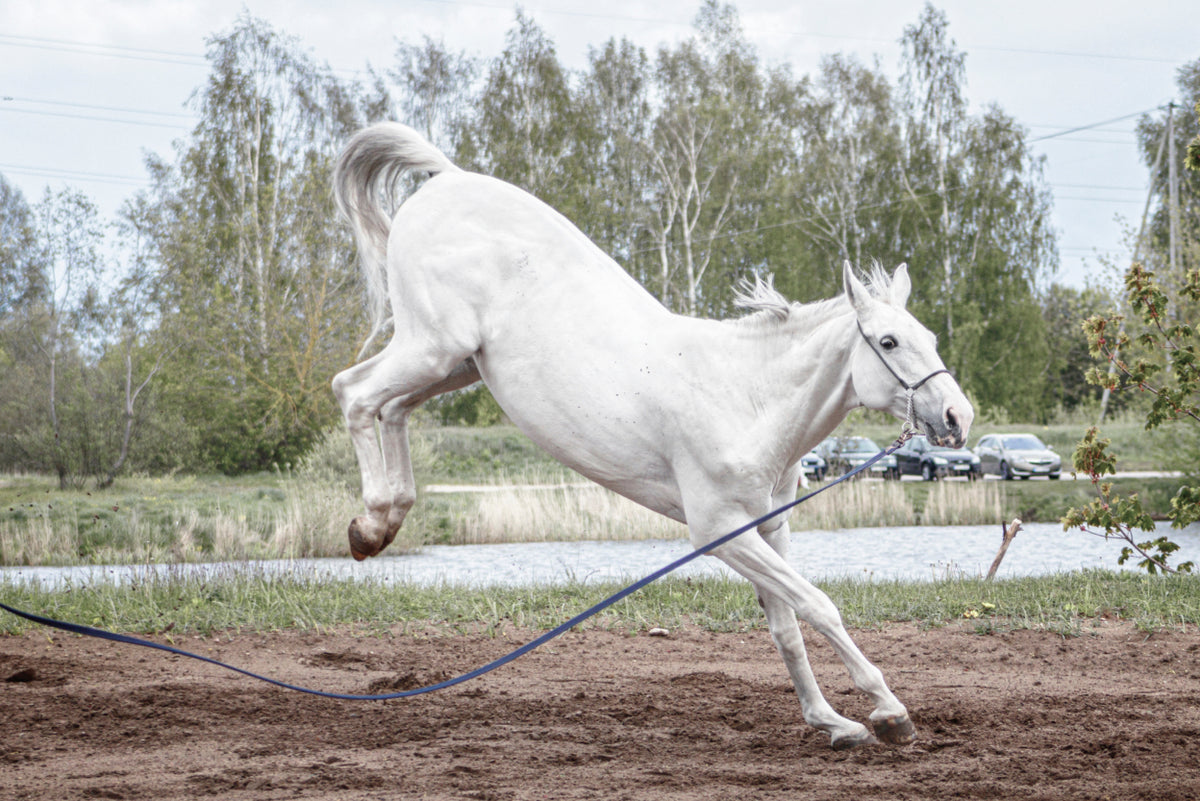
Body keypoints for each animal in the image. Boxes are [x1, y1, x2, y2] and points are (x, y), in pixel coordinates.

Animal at [333, 120, 969, 753]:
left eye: (932, 337)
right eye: (888, 342)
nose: (958, 417)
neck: (745, 398)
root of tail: (448, 178)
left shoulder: (768, 528)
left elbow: (786, 625)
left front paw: (831, 721)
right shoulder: (721, 532)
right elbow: (818, 605)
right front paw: (888, 711)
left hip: (456, 365)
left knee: (393, 408)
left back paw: (382, 522)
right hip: (432, 347)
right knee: (354, 392)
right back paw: (372, 523)